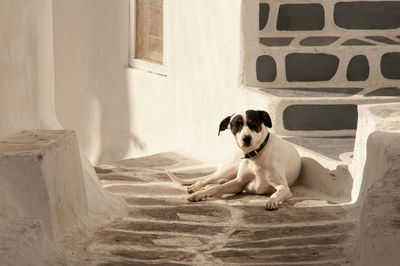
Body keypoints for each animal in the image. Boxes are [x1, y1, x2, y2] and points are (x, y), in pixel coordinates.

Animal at [166, 109, 300, 210]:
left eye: (253, 123)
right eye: (237, 125)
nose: (246, 138)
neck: (255, 157)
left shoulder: (284, 188)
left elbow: (276, 193)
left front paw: (272, 201)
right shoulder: (239, 183)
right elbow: (215, 188)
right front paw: (199, 194)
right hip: (230, 169)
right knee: (207, 179)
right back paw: (195, 188)